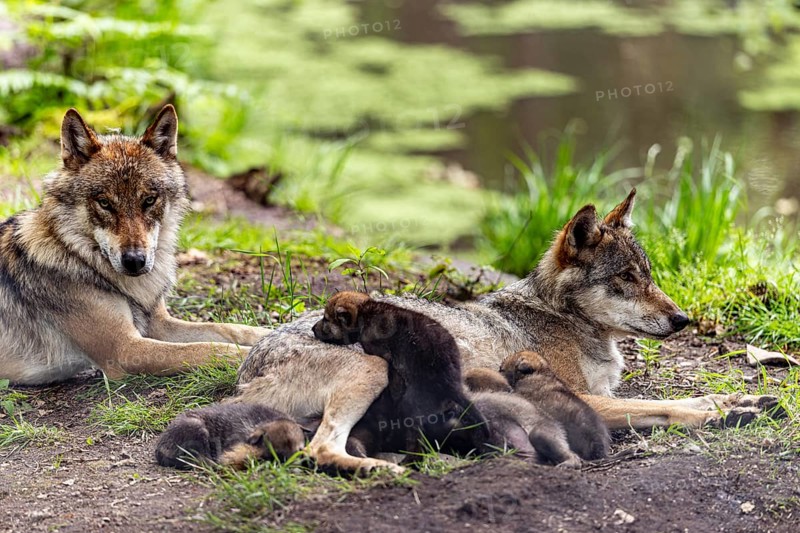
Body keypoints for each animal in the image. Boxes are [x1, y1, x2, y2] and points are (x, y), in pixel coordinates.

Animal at [0, 106, 268, 385]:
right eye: (105, 203)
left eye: (149, 200)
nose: (135, 261)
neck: (77, 255)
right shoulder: (125, 349)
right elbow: (207, 349)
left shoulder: (158, 323)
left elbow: (228, 329)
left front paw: (272, 334)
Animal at [234, 189, 780, 472]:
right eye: (625, 278)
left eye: (647, 274)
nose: (683, 320)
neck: (564, 318)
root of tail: (245, 374)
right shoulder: (586, 398)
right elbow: (670, 406)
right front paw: (729, 410)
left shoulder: (603, 394)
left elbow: (674, 402)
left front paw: (742, 402)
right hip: (368, 370)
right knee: (319, 450)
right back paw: (379, 468)